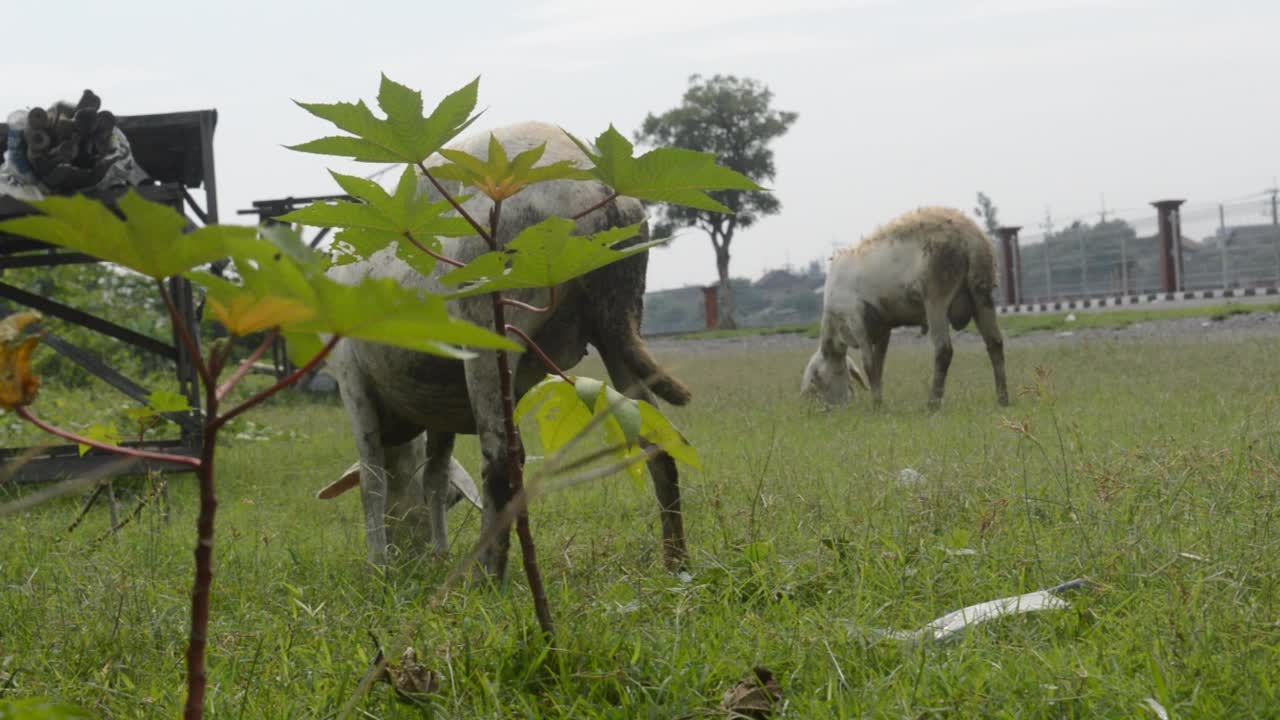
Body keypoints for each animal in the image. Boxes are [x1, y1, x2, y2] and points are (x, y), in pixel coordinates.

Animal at [325, 120, 696, 573]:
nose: (409, 553)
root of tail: (597, 187)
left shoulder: (351, 378)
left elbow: (372, 480)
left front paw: (379, 566)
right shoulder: (439, 405)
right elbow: (434, 477)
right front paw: (439, 554)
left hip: (492, 329)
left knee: (502, 460)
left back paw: (485, 574)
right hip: (617, 326)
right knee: (658, 444)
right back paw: (676, 562)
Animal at [798, 206, 1008, 409]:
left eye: (818, 382)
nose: (832, 408)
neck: (835, 324)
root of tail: (970, 238)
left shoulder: (855, 316)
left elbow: (868, 364)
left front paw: (875, 406)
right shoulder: (884, 325)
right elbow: (878, 365)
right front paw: (878, 402)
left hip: (936, 296)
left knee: (944, 350)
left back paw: (933, 403)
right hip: (981, 293)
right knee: (995, 344)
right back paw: (1002, 398)